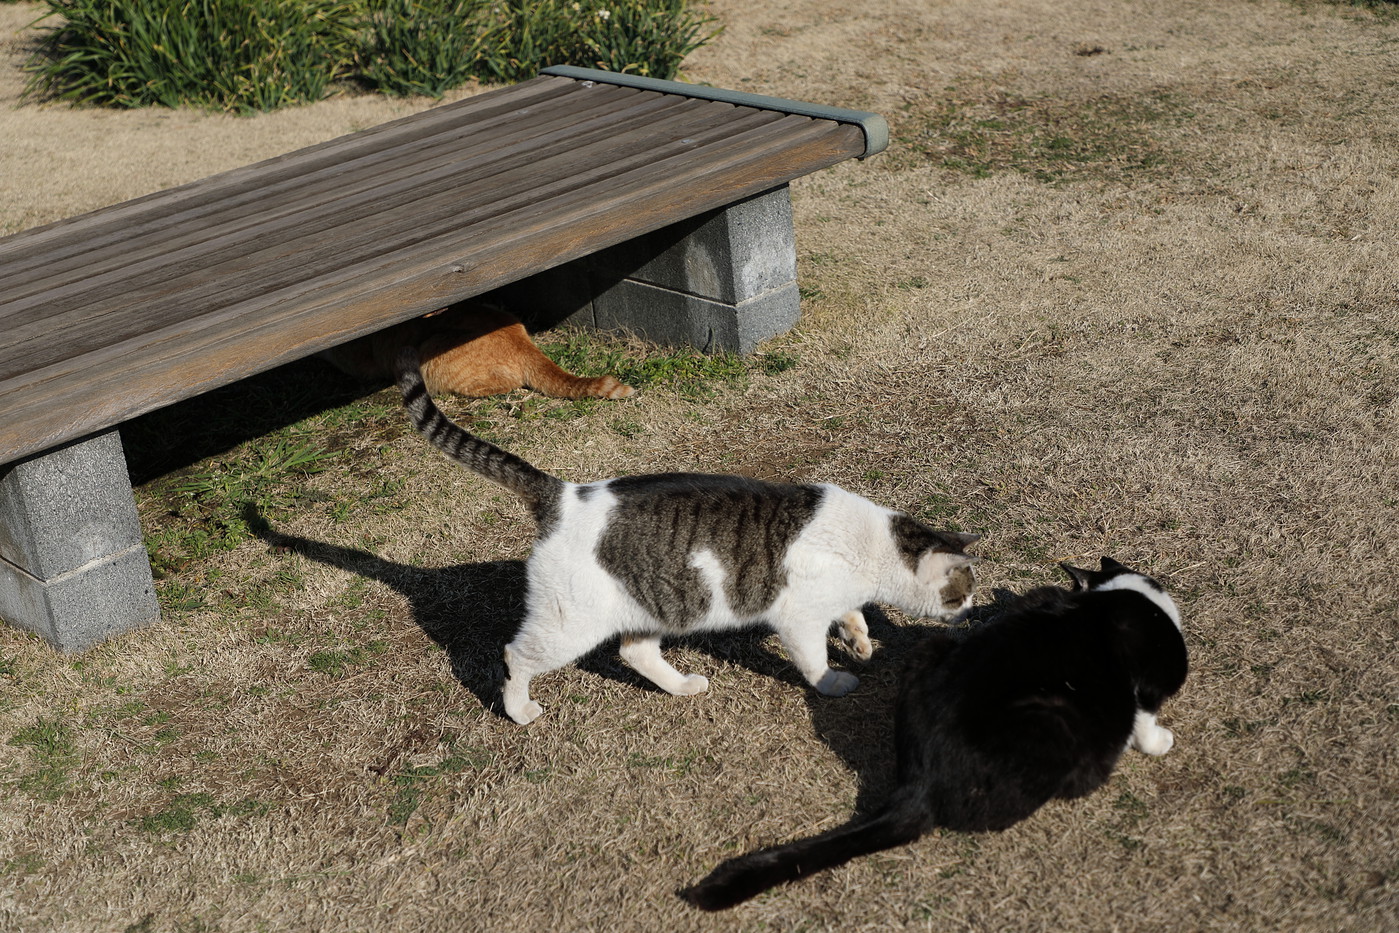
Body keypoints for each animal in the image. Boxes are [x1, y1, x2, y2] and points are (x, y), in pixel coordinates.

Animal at [400, 353, 979, 727]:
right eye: (962, 595)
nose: (973, 613)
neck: (874, 545)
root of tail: (563, 494)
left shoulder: (837, 596)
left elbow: (854, 614)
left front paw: (860, 641)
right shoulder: (798, 617)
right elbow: (814, 658)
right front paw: (834, 681)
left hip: (658, 602)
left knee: (635, 652)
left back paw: (680, 685)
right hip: (569, 626)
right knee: (516, 655)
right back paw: (519, 709)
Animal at [682, 559, 1186, 906]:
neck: (1112, 597)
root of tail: (920, 786)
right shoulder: (1152, 679)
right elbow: (1144, 716)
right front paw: (1159, 742)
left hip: (932, 648)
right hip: (1055, 722)